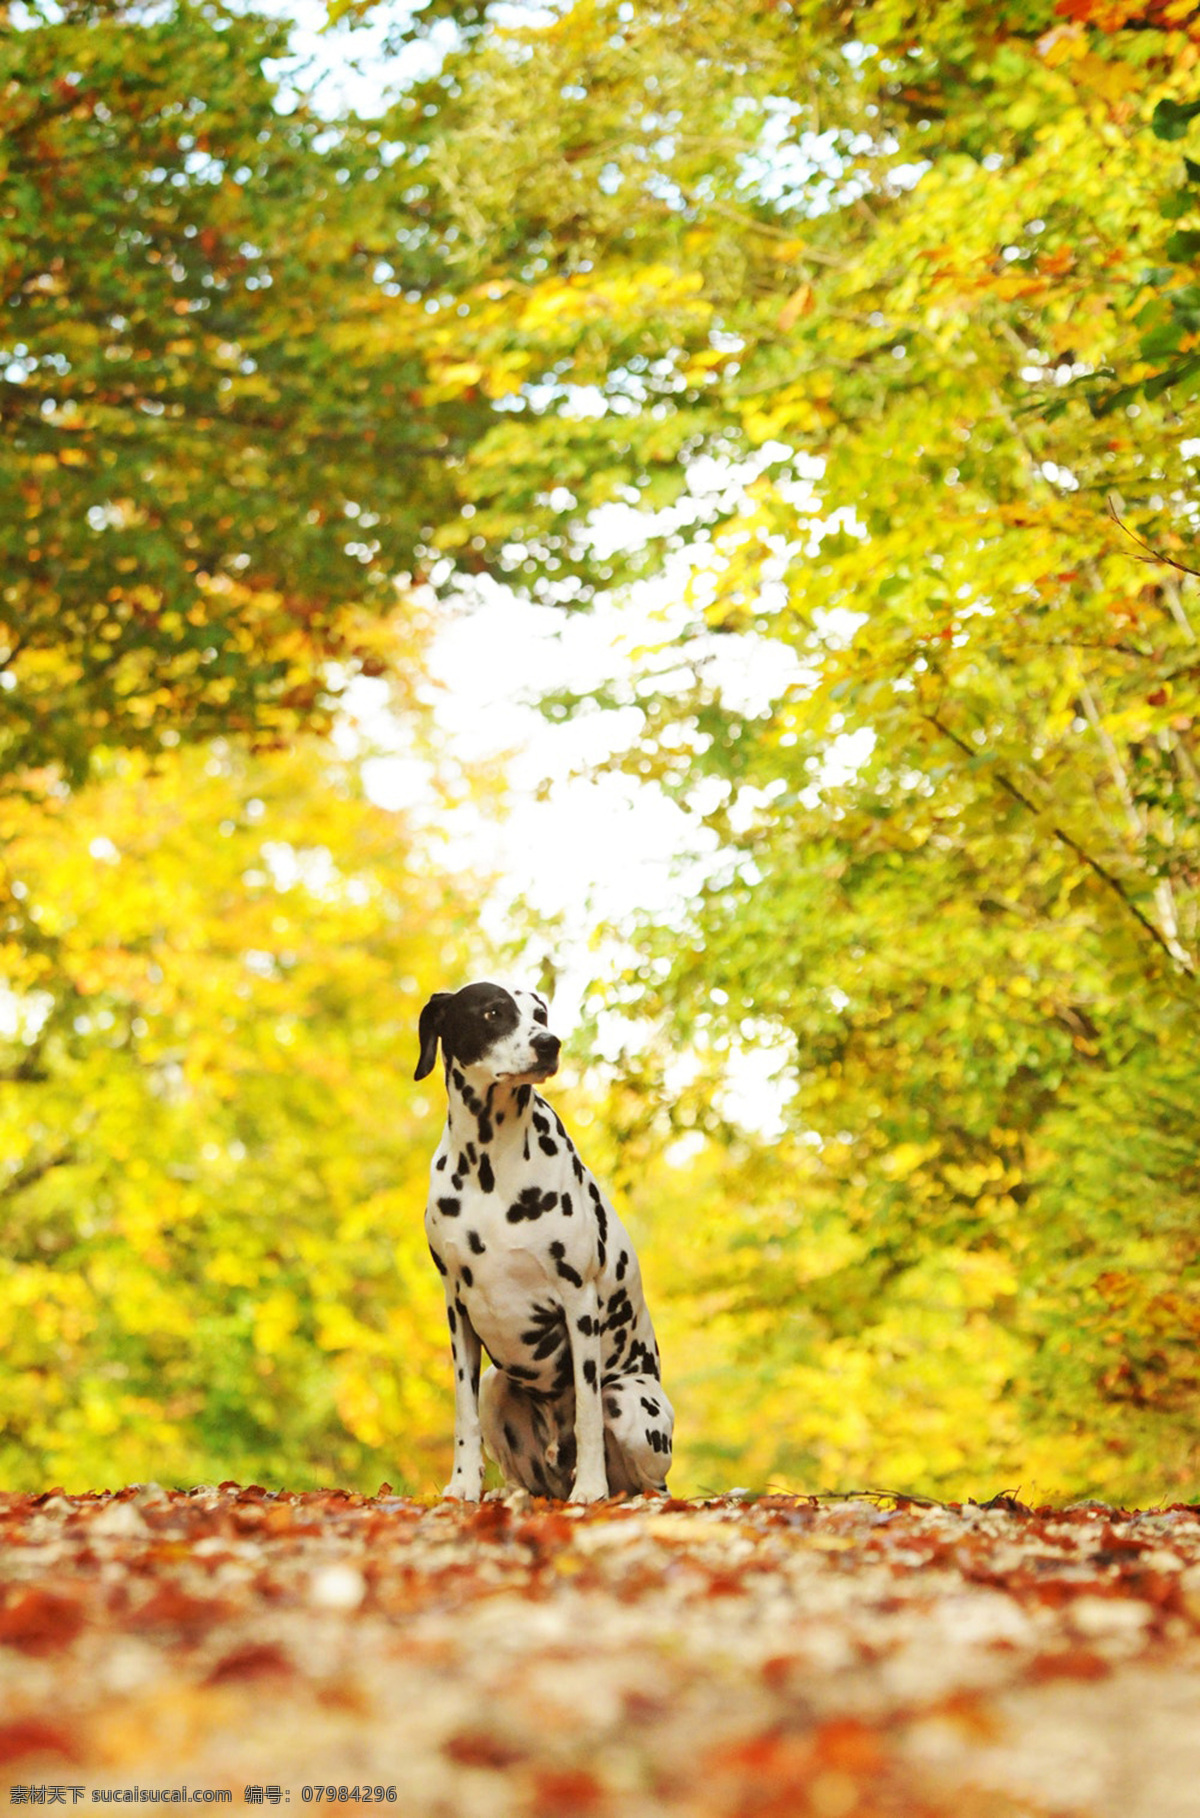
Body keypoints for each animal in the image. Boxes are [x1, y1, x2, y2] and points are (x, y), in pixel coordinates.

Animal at [416, 981, 669, 1505]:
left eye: (541, 1015)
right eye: (493, 1013)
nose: (549, 1044)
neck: (488, 1164)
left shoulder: (579, 1302)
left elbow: (588, 1410)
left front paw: (589, 1488)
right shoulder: (456, 1308)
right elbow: (462, 1414)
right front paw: (463, 1484)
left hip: (631, 1400)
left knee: (646, 1478)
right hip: (496, 1384)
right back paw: (509, 1494)